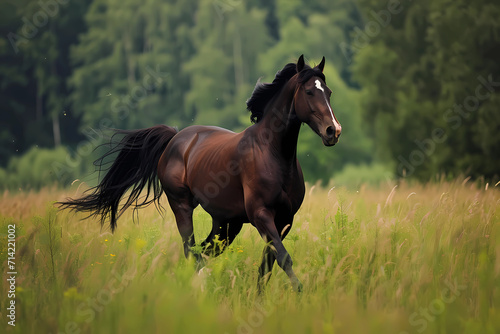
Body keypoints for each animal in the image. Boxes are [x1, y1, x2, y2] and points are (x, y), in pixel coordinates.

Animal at [57, 55, 340, 292]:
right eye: (309, 91)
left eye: (328, 92)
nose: (333, 131)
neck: (273, 154)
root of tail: (175, 138)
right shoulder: (261, 214)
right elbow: (283, 258)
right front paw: (300, 294)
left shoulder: (284, 219)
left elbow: (268, 263)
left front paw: (259, 298)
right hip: (183, 207)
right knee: (190, 250)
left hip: (226, 223)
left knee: (202, 252)